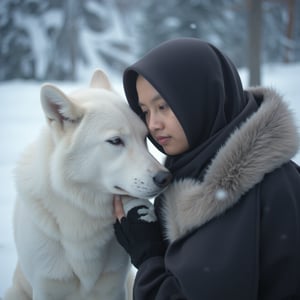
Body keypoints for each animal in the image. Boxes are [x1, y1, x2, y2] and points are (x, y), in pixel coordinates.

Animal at [4, 69, 171, 298]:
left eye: (144, 137)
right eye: (115, 141)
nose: (165, 177)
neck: (82, 209)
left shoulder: (114, 287)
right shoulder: (46, 287)